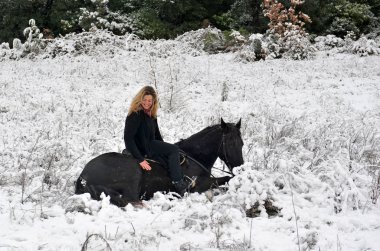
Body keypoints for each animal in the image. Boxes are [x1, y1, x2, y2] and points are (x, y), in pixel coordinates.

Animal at [74, 118, 243, 207]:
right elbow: (226, 179)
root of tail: (83, 175)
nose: (241, 168)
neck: (194, 156)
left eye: (241, 143)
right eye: (231, 143)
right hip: (134, 175)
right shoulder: (198, 185)